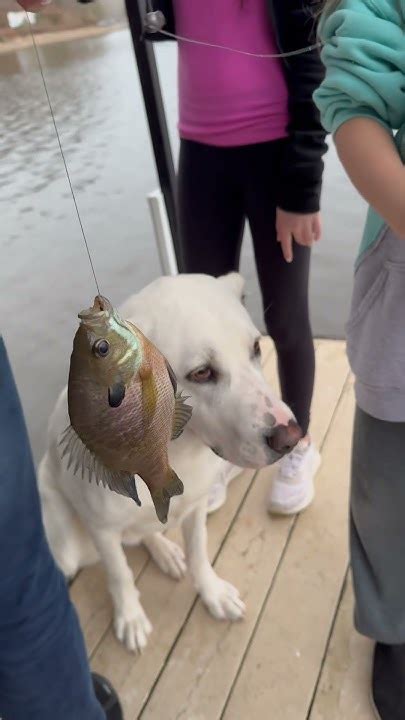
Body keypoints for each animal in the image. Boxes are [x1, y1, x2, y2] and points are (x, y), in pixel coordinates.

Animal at [38, 274, 298, 652]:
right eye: (201, 373)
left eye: (256, 347)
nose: (291, 438)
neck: (175, 453)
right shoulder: (102, 530)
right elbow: (119, 574)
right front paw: (130, 617)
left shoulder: (196, 507)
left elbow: (199, 552)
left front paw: (212, 593)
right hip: (67, 547)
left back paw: (165, 550)